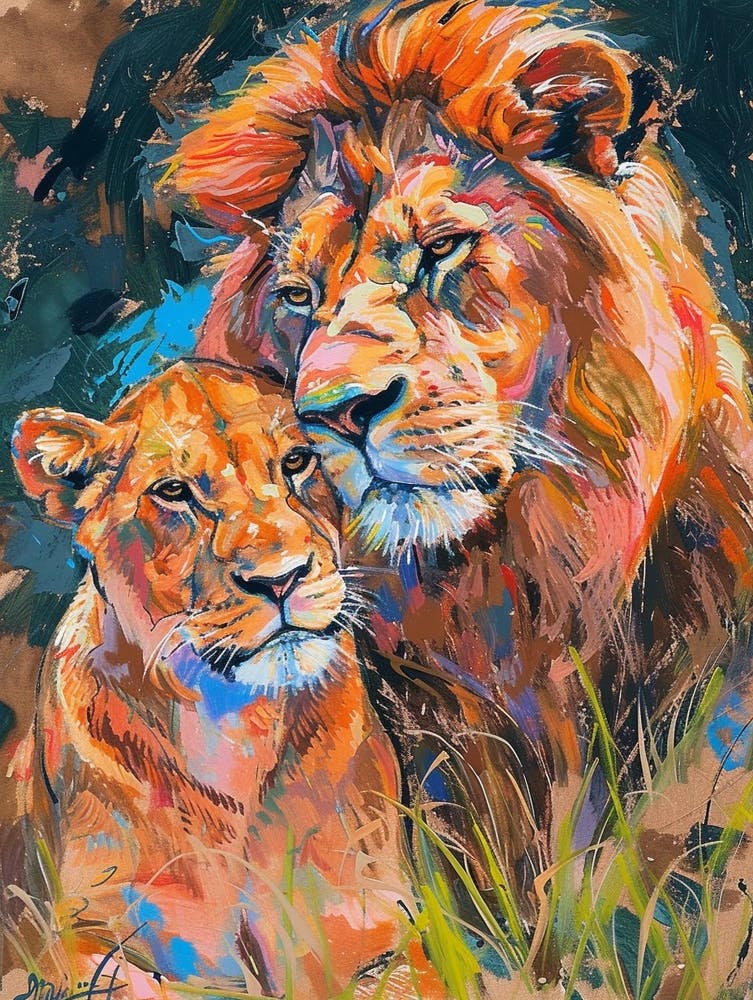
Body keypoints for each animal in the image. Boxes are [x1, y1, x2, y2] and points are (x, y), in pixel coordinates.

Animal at [8, 360, 446, 999]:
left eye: (297, 461)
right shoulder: (94, 944)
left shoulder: (378, 935)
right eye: (173, 492)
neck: (233, 722)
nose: (280, 579)